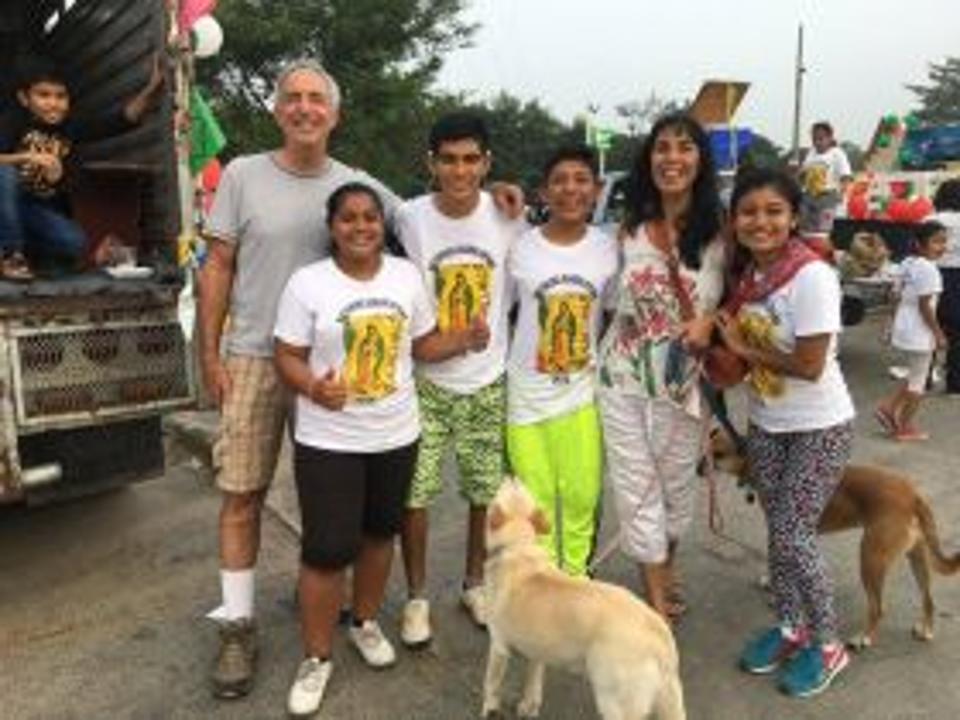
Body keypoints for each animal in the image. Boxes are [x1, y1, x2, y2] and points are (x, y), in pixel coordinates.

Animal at [480, 478, 684, 720]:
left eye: (504, 491)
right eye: (523, 489)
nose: (511, 476)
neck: (519, 547)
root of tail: (658, 633)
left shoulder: (498, 646)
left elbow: (491, 685)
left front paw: (489, 708)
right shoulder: (538, 651)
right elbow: (533, 681)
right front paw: (529, 707)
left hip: (614, 701)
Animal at [708, 430, 960, 648]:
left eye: (719, 454)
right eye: (706, 449)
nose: (701, 468)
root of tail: (913, 495)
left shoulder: (782, 530)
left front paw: (774, 587)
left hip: (871, 558)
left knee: (878, 608)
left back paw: (864, 638)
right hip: (917, 557)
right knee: (929, 600)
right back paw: (926, 630)